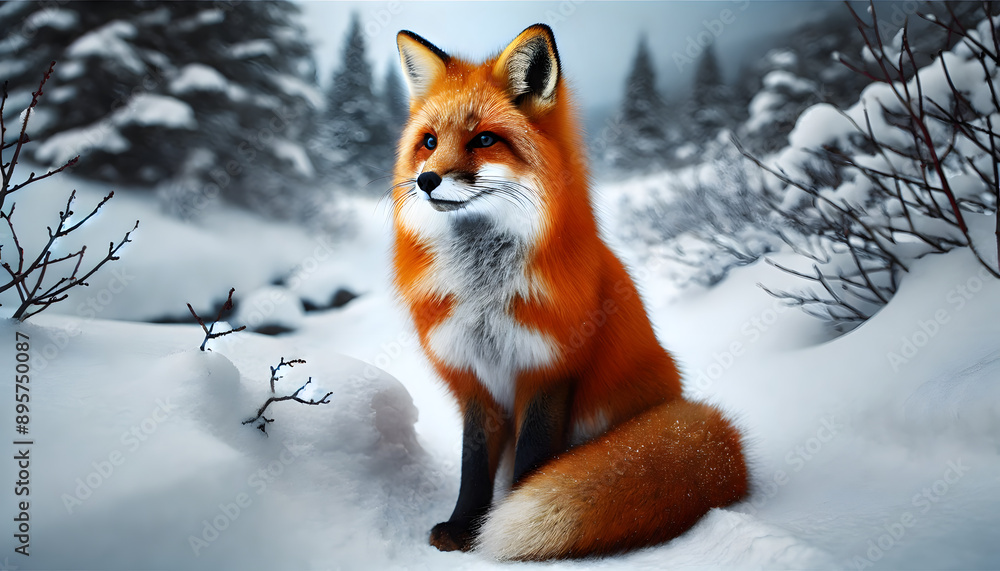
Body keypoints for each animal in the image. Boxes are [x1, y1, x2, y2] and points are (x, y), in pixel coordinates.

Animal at [389, 24, 748, 561]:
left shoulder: (548, 370)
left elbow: (534, 463)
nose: (427, 180)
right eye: (429, 142)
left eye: (484, 140)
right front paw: (462, 528)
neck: (485, 295)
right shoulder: (474, 378)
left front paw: (500, 520)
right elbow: (473, 468)